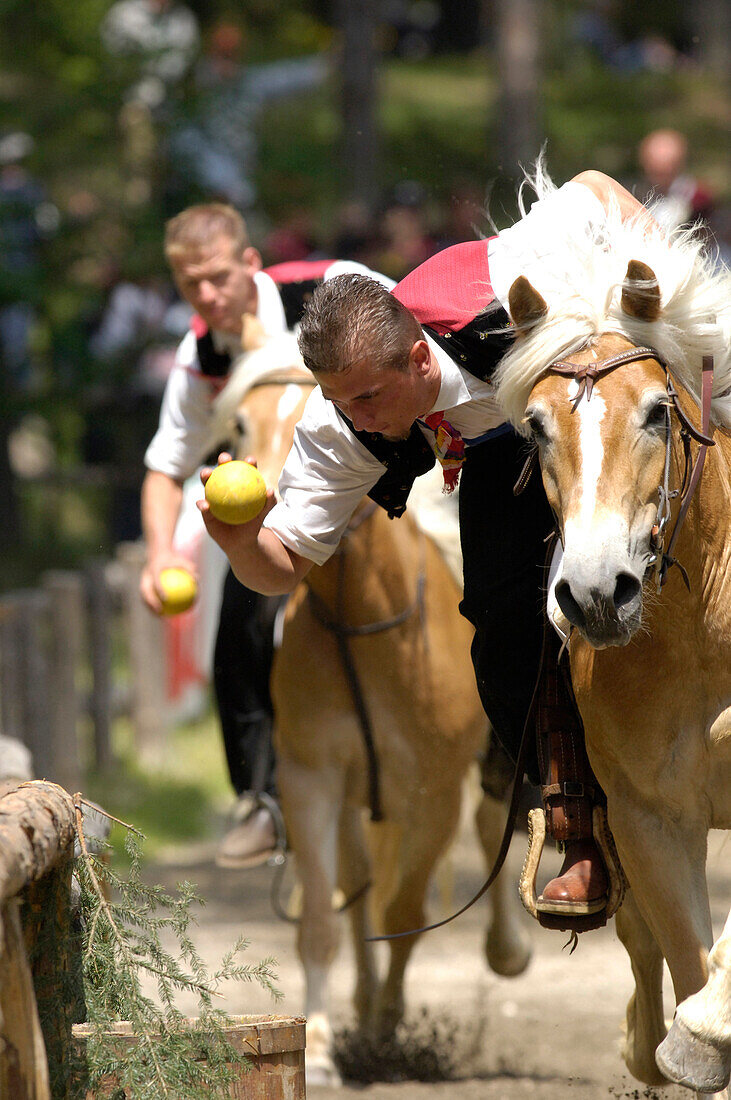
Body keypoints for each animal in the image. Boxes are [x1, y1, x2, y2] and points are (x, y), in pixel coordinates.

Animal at [211, 330, 529, 1086]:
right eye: (240, 429)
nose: (276, 513)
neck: (365, 620)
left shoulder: (433, 792)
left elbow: (407, 907)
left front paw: (386, 1030)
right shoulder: (312, 780)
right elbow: (324, 924)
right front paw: (325, 1045)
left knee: (491, 820)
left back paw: (504, 950)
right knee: (356, 889)